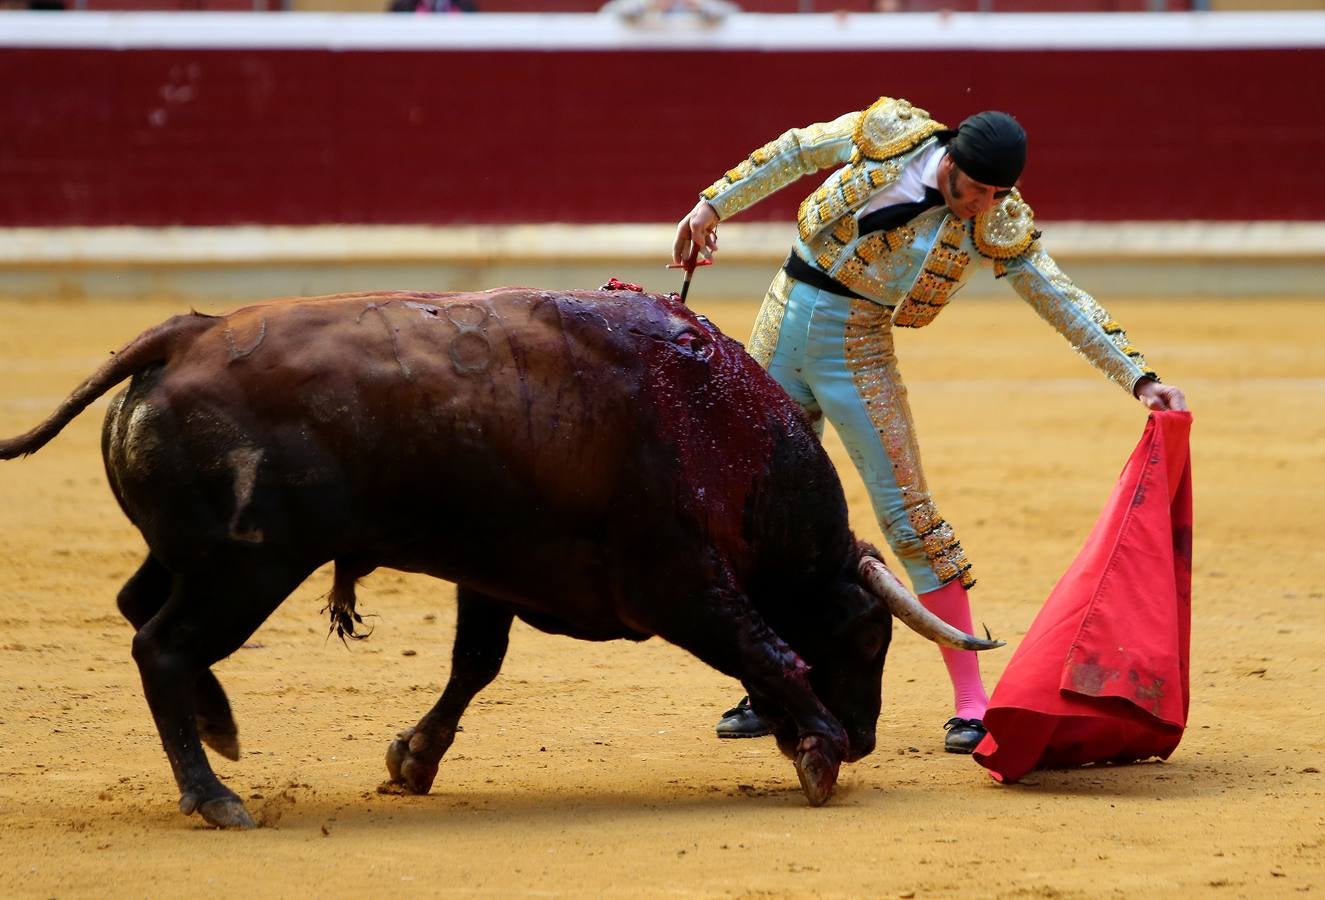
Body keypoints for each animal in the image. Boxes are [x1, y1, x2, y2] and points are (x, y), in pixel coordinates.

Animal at [0, 288, 996, 832]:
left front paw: (411, 759)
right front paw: (818, 754)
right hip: (244, 570)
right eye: (868, 640)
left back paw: (218, 727)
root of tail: (182, 333)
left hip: (196, 559)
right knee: (162, 645)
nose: (864, 738)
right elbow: (767, 648)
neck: (716, 428)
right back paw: (213, 793)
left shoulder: (495, 571)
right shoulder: (675, 580)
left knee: (140, 612)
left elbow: (474, 663)